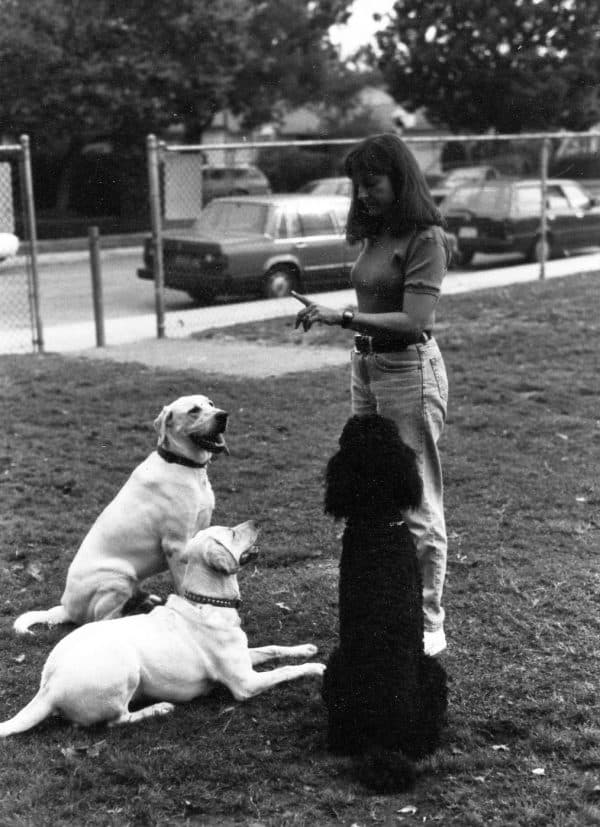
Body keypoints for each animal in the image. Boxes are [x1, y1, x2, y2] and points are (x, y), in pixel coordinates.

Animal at [0, 520, 326, 736]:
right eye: (232, 532)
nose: (257, 522)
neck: (207, 600)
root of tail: (48, 687)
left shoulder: (245, 658)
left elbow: (273, 648)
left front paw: (305, 648)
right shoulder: (246, 683)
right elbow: (286, 671)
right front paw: (314, 667)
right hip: (125, 667)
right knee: (117, 720)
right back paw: (158, 709)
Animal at [14, 394, 230, 632]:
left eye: (210, 404)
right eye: (193, 411)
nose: (223, 415)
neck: (185, 465)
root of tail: (65, 608)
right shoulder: (176, 545)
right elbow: (184, 586)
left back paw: (143, 600)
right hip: (117, 577)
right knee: (101, 620)